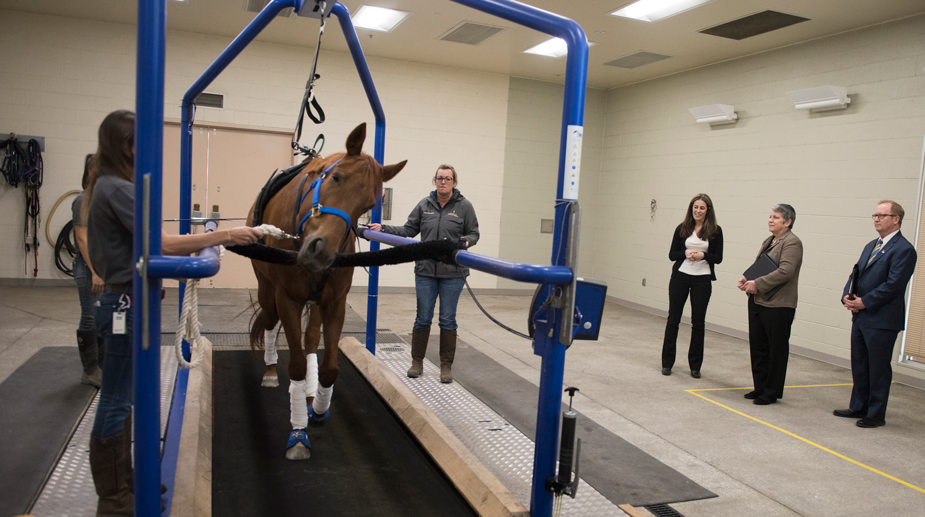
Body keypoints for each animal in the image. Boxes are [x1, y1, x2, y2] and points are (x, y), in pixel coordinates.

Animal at [245, 122, 404, 460]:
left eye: (369, 205)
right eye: (336, 177)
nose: (320, 252)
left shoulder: (334, 303)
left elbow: (329, 367)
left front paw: (317, 408)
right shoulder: (288, 299)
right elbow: (294, 365)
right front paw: (298, 432)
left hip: (316, 301)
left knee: (309, 341)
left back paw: (309, 393)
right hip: (266, 288)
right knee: (269, 323)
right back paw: (270, 372)